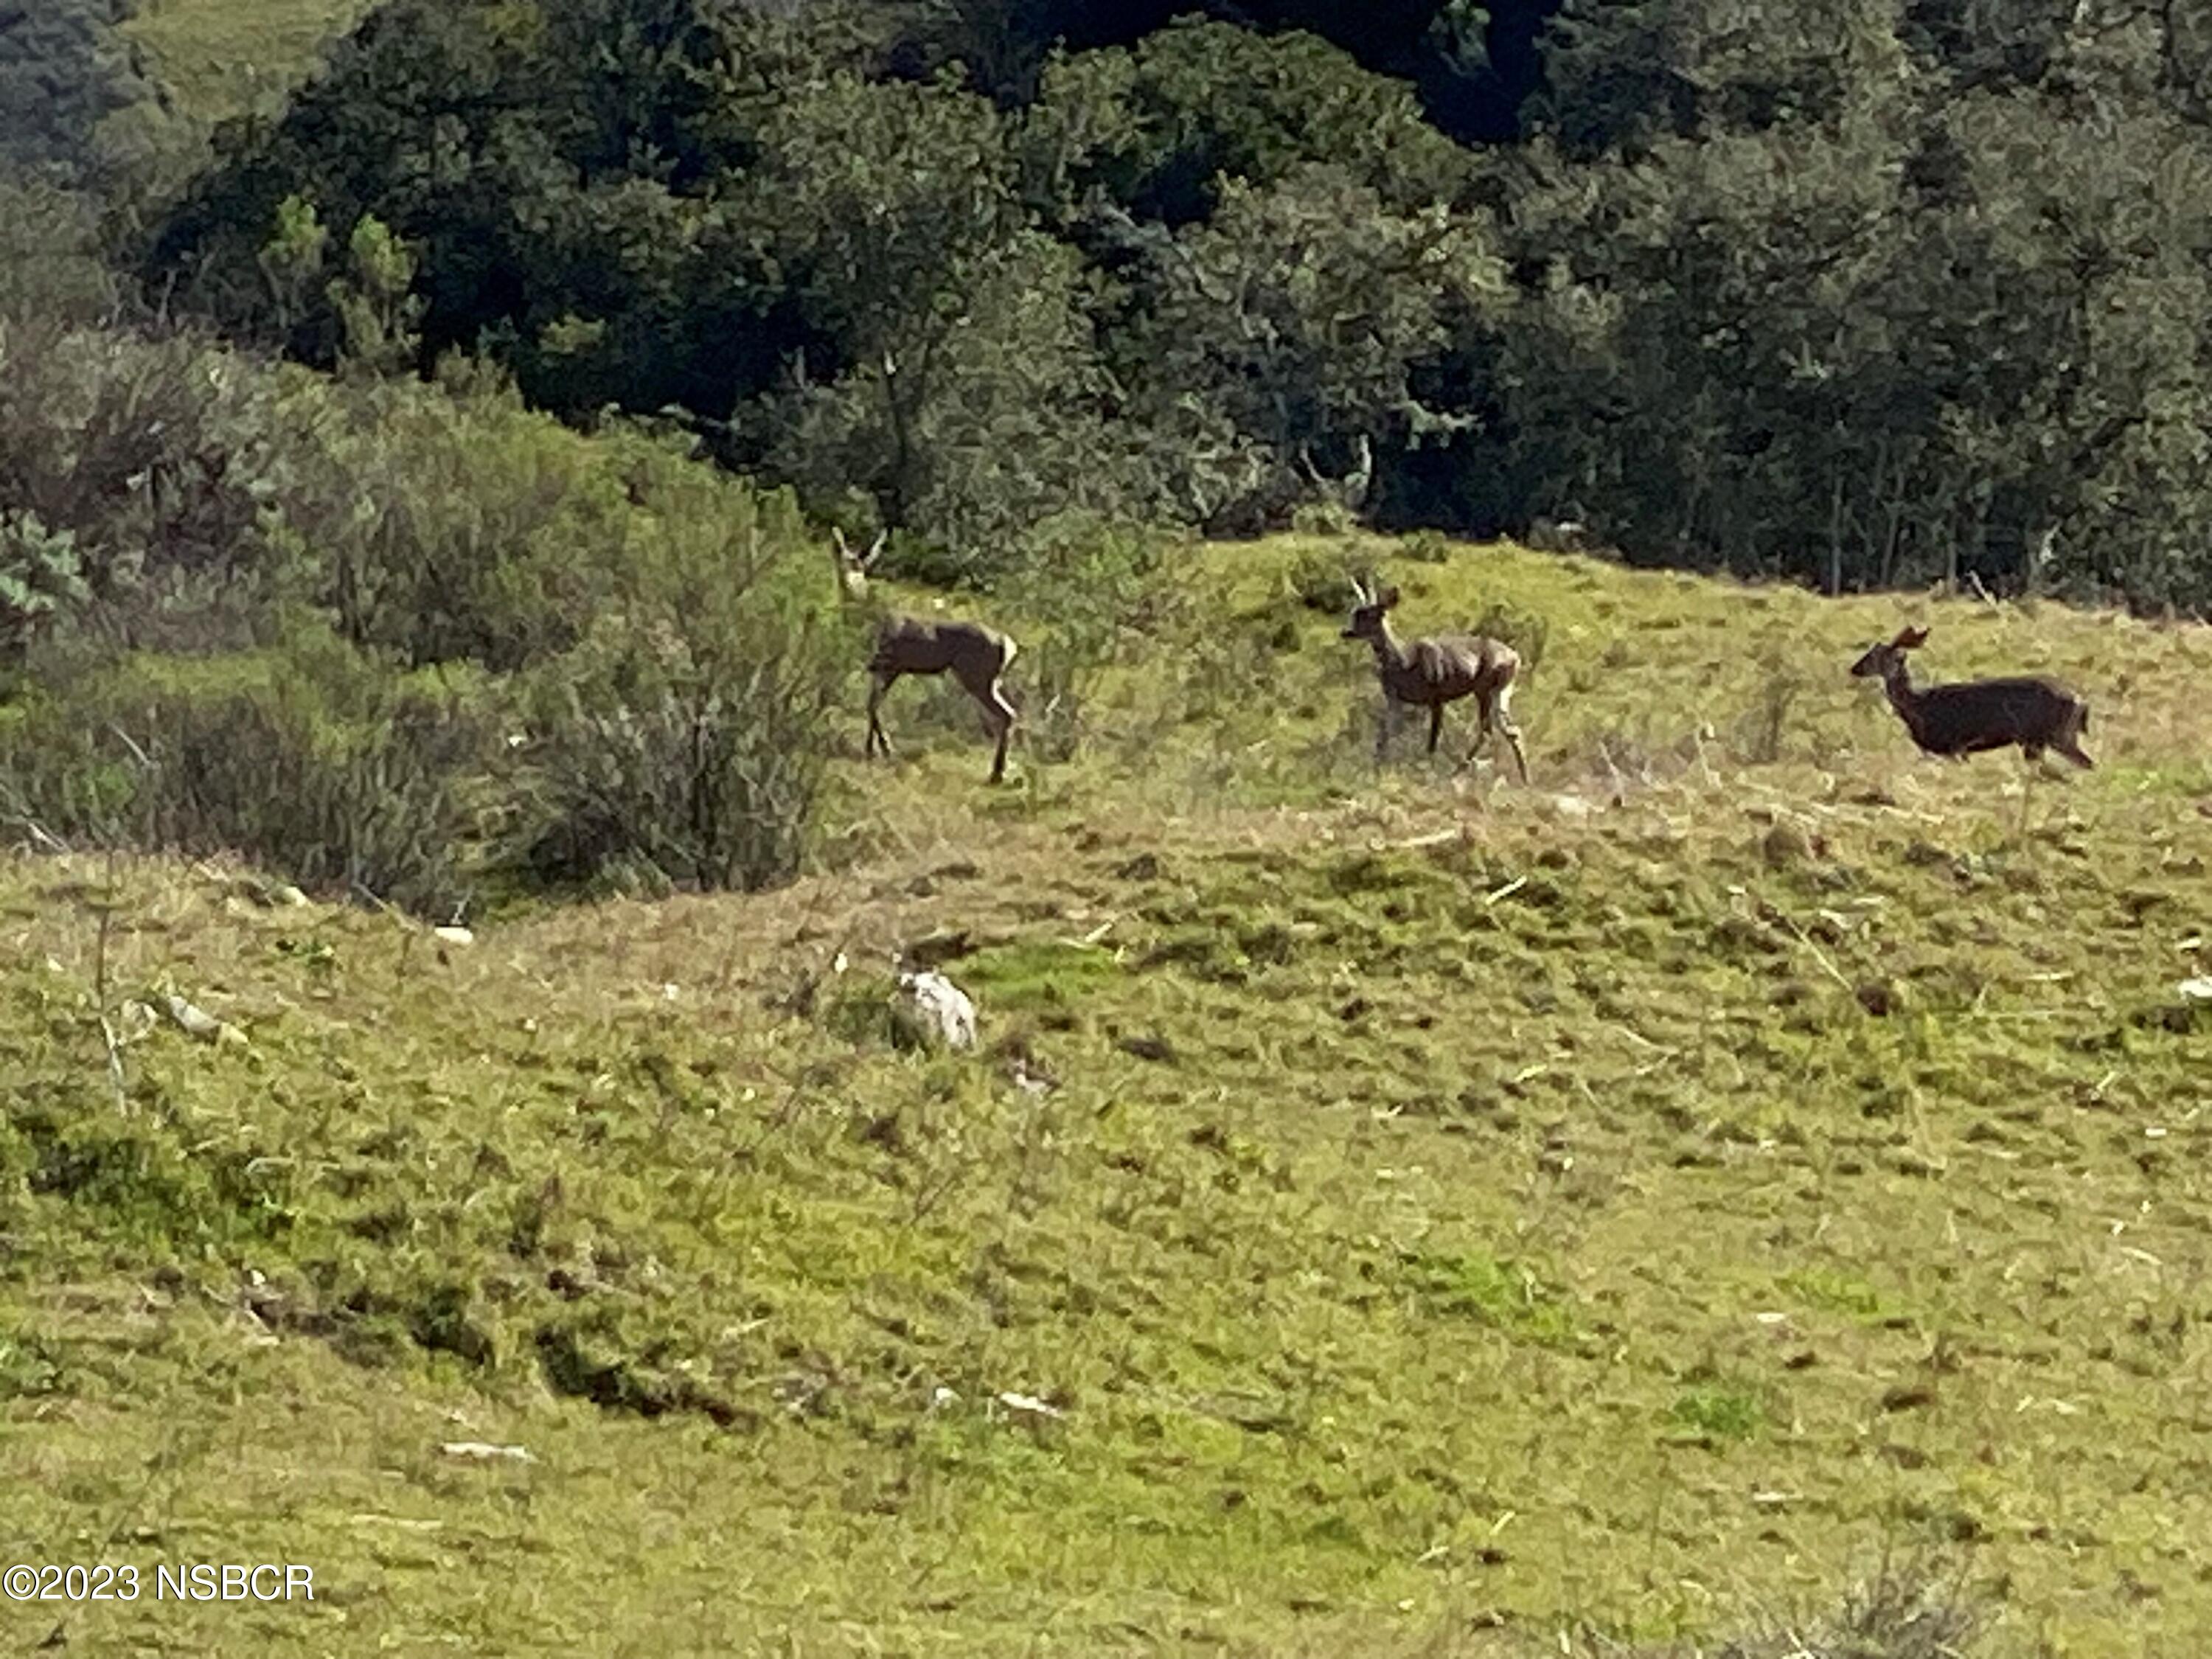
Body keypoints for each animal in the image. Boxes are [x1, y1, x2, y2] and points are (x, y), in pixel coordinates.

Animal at [831, 528, 1020, 784]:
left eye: (861, 567)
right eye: (843, 561)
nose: (852, 585)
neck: (869, 622)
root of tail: (1009, 644)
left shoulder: (890, 664)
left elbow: (872, 705)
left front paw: (885, 748)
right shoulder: (880, 668)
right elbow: (872, 705)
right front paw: (872, 749)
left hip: (977, 677)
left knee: (1007, 715)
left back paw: (996, 774)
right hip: (992, 680)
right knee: (1011, 714)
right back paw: (999, 771)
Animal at [1341, 574, 1530, 783]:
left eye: (1370, 615)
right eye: (1355, 613)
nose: (1346, 632)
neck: (1405, 664)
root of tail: (1516, 658)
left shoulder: (1436, 697)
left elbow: (1432, 740)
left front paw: (1425, 770)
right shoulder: (1394, 698)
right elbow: (1384, 736)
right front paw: (1375, 770)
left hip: (1485, 688)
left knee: (1492, 730)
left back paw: (1458, 772)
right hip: (1499, 690)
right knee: (1507, 730)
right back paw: (1523, 780)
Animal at [1848, 625, 2092, 769]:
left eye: (1875, 656)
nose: (1854, 668)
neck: (1919, 707)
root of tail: (2081, 701)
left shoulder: (1953, 744)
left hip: (2049, 735)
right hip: (2051, 738)